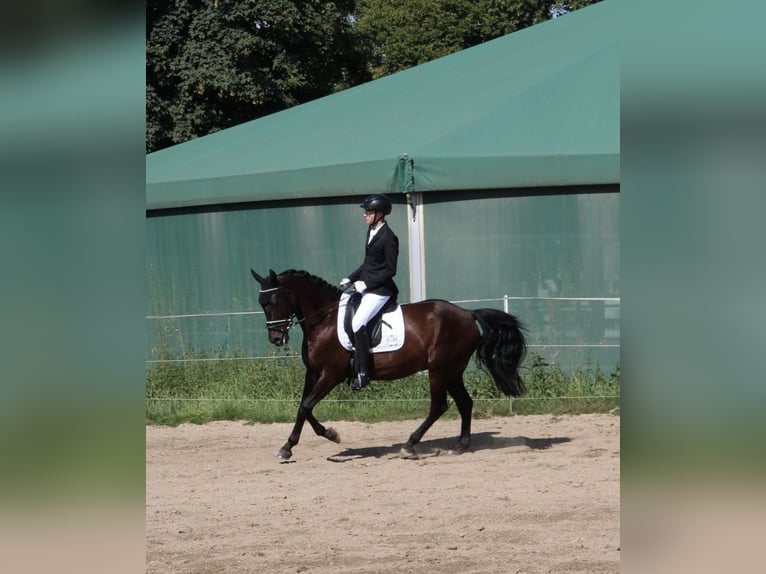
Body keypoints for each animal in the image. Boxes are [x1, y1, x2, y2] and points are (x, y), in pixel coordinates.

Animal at [250, 268, 527, 460]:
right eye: (262, 305)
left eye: (273, 302)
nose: (276, 339)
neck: (323, 320)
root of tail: (468, 314)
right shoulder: (314, 373)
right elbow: (303, 408)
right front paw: (317, 438)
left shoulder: (331, 374)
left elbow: (306, 406)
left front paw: (293, 446)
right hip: (453, 371)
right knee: (464, 403)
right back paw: (460, 446)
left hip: (439, 370)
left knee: (439, 406)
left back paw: (410, 445)